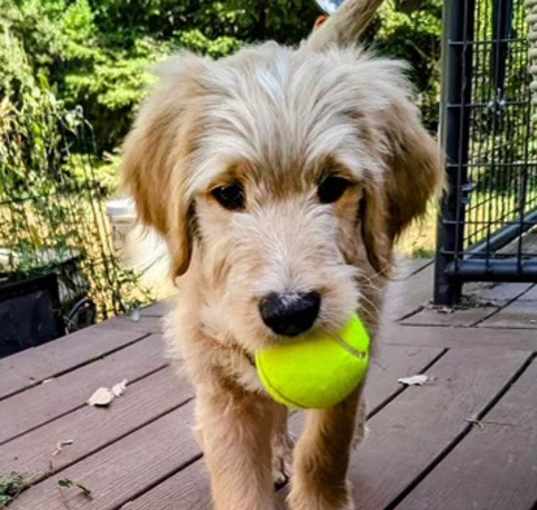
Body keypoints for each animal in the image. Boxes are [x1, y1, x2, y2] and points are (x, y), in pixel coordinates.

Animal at [122, 1, 444, 508]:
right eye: (228, 193)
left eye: (333, 186)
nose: (291, 311)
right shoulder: (217, 377)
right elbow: (238, 473)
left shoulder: (358, 335)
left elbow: (325, 445)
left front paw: (320, 496)